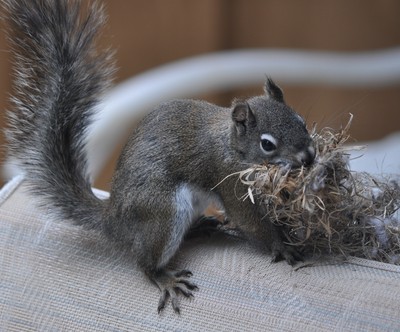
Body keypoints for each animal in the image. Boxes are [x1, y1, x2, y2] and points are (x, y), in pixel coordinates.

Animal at [3, 0, 316, 314]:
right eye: (267, 144)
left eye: (301, 121)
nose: (309, 156)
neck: (231, 145)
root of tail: (114, 220)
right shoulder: (228, 179)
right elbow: (250, 221)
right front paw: (282, 246)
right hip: (164, 212)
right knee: (145, 263)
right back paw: (165, 278)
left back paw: (200, 227)